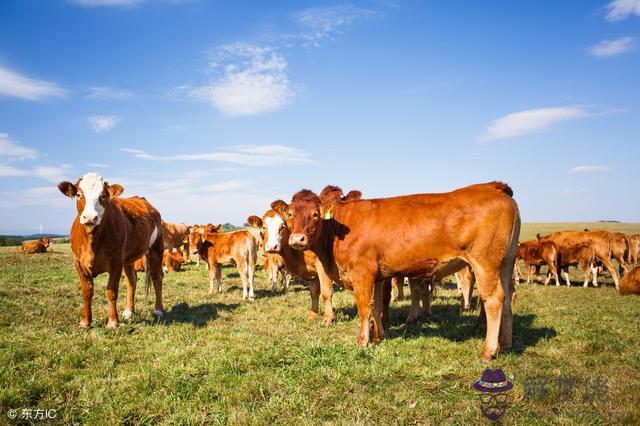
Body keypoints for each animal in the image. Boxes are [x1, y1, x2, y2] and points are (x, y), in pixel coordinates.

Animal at [57, 171, 165, 328]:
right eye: (78, 194)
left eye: (103, 195)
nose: (90, 217)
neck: (92, 242)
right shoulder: (78, 262)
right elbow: (87, 291)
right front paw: (85, 321)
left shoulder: (116, 261)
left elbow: (111, 291)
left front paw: (113, 322)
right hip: (128, 258)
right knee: (132, 280)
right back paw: (129, 311)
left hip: (156, 248)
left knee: (157, 277)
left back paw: (158, 310)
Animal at [274, 181, 520, 362]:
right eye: (290, 214)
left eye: (315, 214)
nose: (297, 239)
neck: (337, 228)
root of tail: (494, 188)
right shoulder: (376, 277)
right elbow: (376, 306)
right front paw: (379, 336)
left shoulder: (362, 273)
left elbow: (364, 308)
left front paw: (363, 341)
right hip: (506, 263)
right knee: (508, 297)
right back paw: (506, 344)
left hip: (485, 263)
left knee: (493, 300)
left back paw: (489, 350)